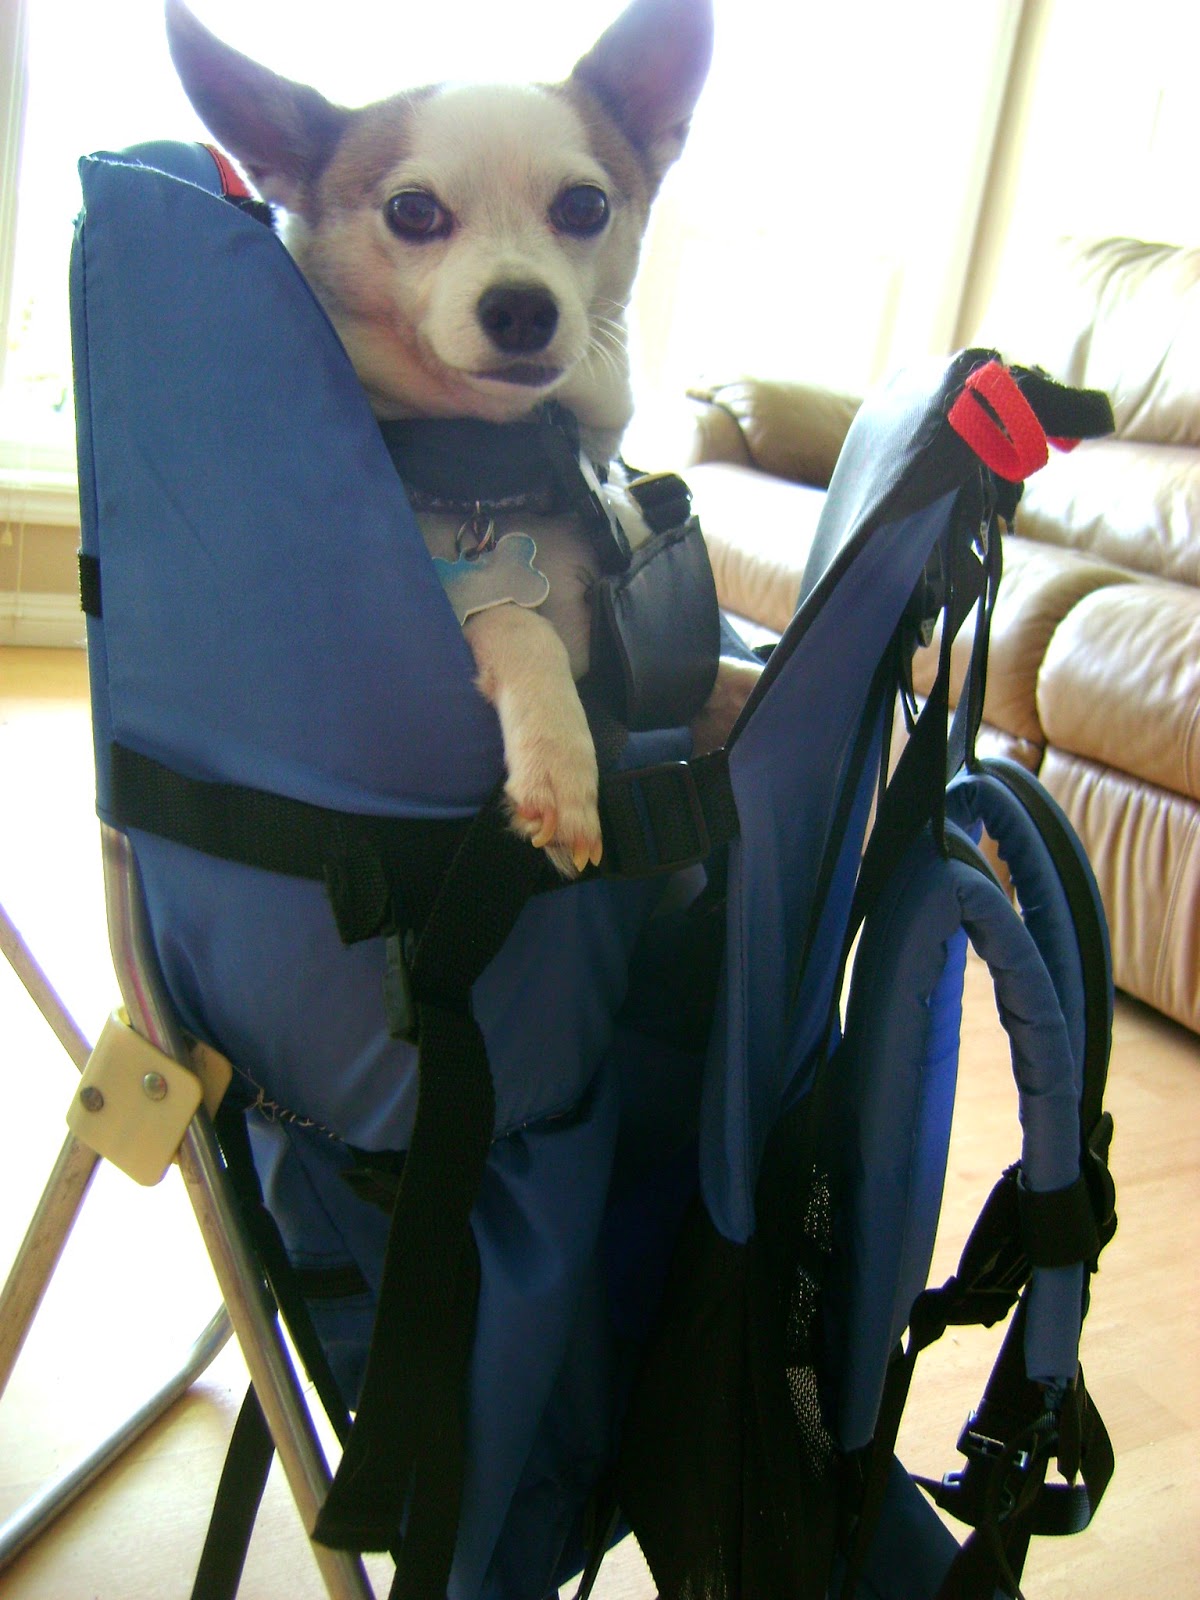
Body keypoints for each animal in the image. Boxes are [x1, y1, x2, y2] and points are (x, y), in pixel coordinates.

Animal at [166, 0, 757, 876]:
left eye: (585, 206)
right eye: (413, 211)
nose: (520, 305)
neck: (498, 475)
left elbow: (736, 680)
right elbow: (516, 622)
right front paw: (561, 762)